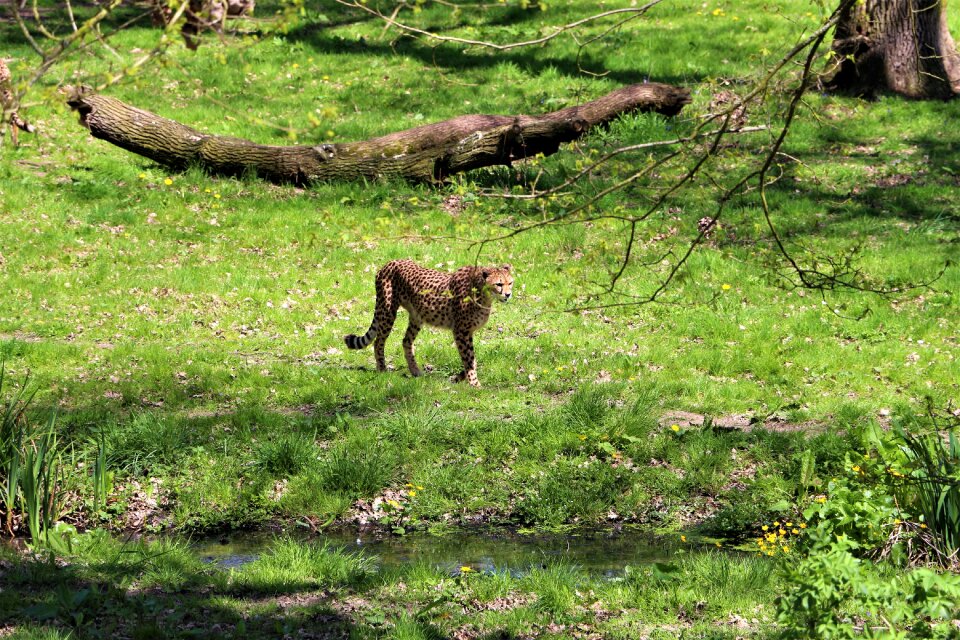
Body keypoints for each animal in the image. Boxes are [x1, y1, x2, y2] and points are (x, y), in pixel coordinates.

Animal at [344, 258, 510, 388]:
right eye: (499, 284)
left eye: (510, 283)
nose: (508, 294)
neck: (483, 294)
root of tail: (390, 262)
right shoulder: (461, 331)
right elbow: (469, 358)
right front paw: (474, 383)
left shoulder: (466, 332)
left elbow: (472, 359)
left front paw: (458, 378)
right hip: (387, 311)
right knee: (379, 341)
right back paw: (382, 369)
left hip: (416, 317)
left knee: (406, 341)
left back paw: (415, 371)